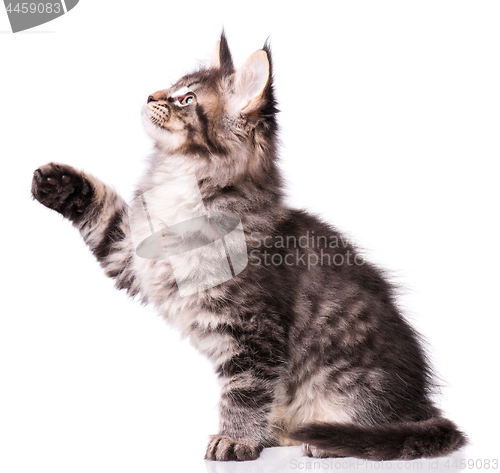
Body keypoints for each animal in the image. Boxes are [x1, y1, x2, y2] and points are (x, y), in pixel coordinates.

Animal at [32, 31, 468, 460]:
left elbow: (244, 390)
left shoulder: (254, 330)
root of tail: (422, 403)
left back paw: (322, 441)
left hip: (350, 379)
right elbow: (104, 214)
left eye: (186, 99)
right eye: (172, 87)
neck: (181, 188)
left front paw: (234, 439)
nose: (151, 95)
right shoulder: (130, 252)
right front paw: (57, 183)